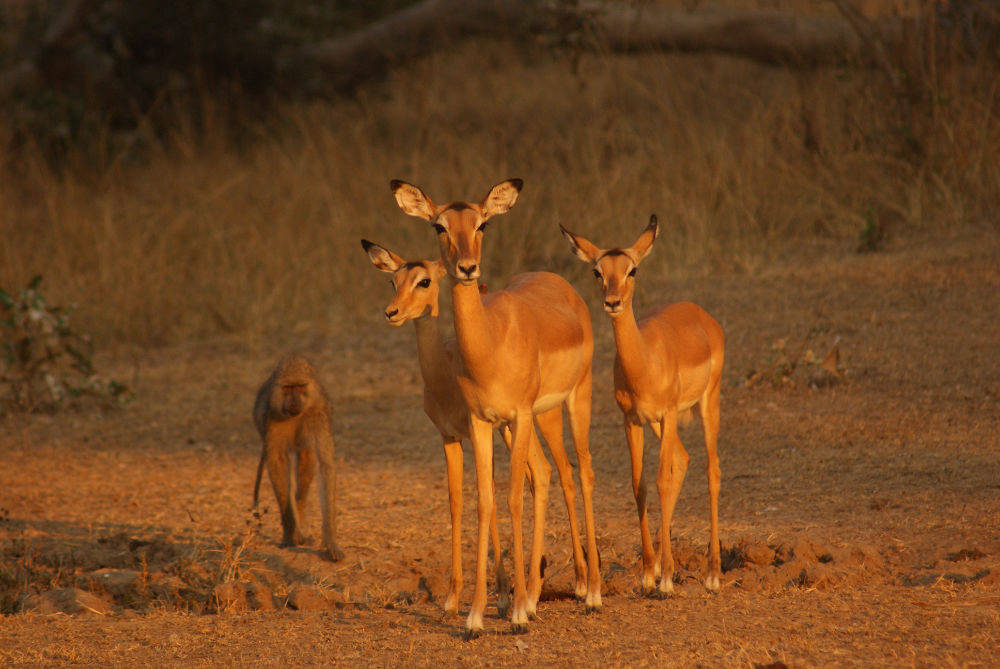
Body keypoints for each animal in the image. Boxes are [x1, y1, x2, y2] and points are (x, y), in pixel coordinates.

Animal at [390, 178, 601, 638]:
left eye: (482, 223)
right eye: (439, 225)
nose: (468, 268)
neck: (489, 344)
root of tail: (561, 284)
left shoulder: (517, 416)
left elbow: (513, 499)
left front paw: (516, 614)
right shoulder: (481, 423)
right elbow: (485, 500)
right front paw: (474, 617)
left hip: (574, 400)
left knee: (582, 471)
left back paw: (591, 593)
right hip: (531, 420)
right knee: (548, 472)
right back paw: (538, 596)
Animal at [560, 215, 725, 595]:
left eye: (632, 269)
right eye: (597, 271)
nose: (613, 301)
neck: (645, 360)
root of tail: (702, 316)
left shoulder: (667, 413)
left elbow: (662, 480)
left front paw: (664, 581)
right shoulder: (631, 419)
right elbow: (640, 484)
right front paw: (650, 573)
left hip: (706, 404)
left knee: (712, 470)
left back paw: (712, 574)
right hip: (659, 424)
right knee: (683, 458)